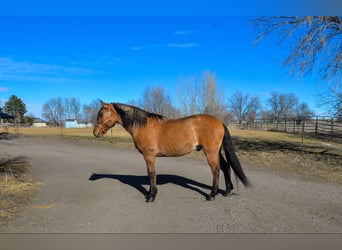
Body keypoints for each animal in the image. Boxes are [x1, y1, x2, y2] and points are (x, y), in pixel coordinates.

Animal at [93, 100, 251, 202]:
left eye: (101, 114)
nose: (95, 133)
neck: (143, 126)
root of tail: (220, 122)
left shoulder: (149, 156)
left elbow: (151, 174)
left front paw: (151, 196)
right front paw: (151, 193)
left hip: (211, 152)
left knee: (216, 170)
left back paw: (212, 195)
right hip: (216, 151)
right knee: (225, 167)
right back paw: (227, 191)